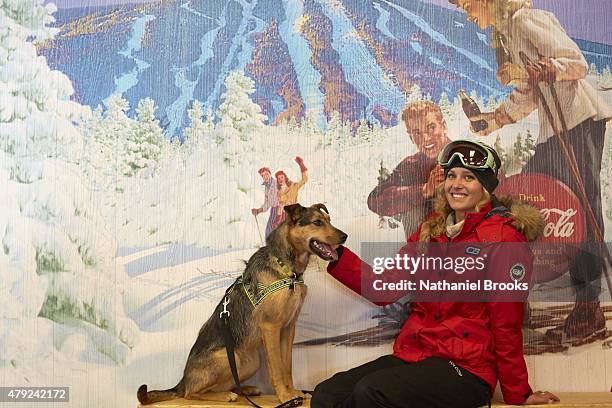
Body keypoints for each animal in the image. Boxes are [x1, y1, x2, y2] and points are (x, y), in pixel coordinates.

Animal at [140, 204, 350, 404]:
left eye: (329, 220)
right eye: (317, 222)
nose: (345, 236)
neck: (286, 269)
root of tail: (182, 381)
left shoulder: (289, 327)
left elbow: (287, 366)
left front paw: (293, 392)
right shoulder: (271, 327)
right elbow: (277, 368)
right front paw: (285, 397)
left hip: (250, 361)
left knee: (229, 383)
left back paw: (245, 390)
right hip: (228, 357)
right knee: (190, 393)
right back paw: (225, 396)